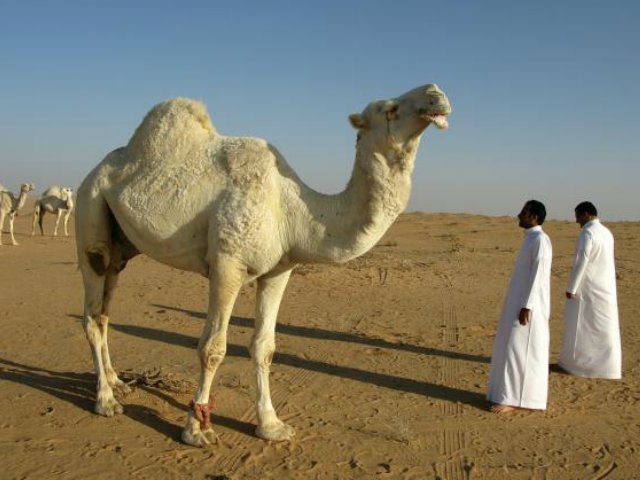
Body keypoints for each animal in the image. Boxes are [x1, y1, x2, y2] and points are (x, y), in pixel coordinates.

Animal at [75, 84, 451, 447]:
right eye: (390, 109)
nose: (436, 94)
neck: (292, 210)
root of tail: (93, 171)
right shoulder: (227, 265)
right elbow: (212, 348)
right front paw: (197, 429)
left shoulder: (279, 271)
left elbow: (264, 347)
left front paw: (271, 425)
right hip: (90, 211)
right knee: (92, 314)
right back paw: (106, 400)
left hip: (121, 247)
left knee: (106, 310)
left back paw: (117, 381)